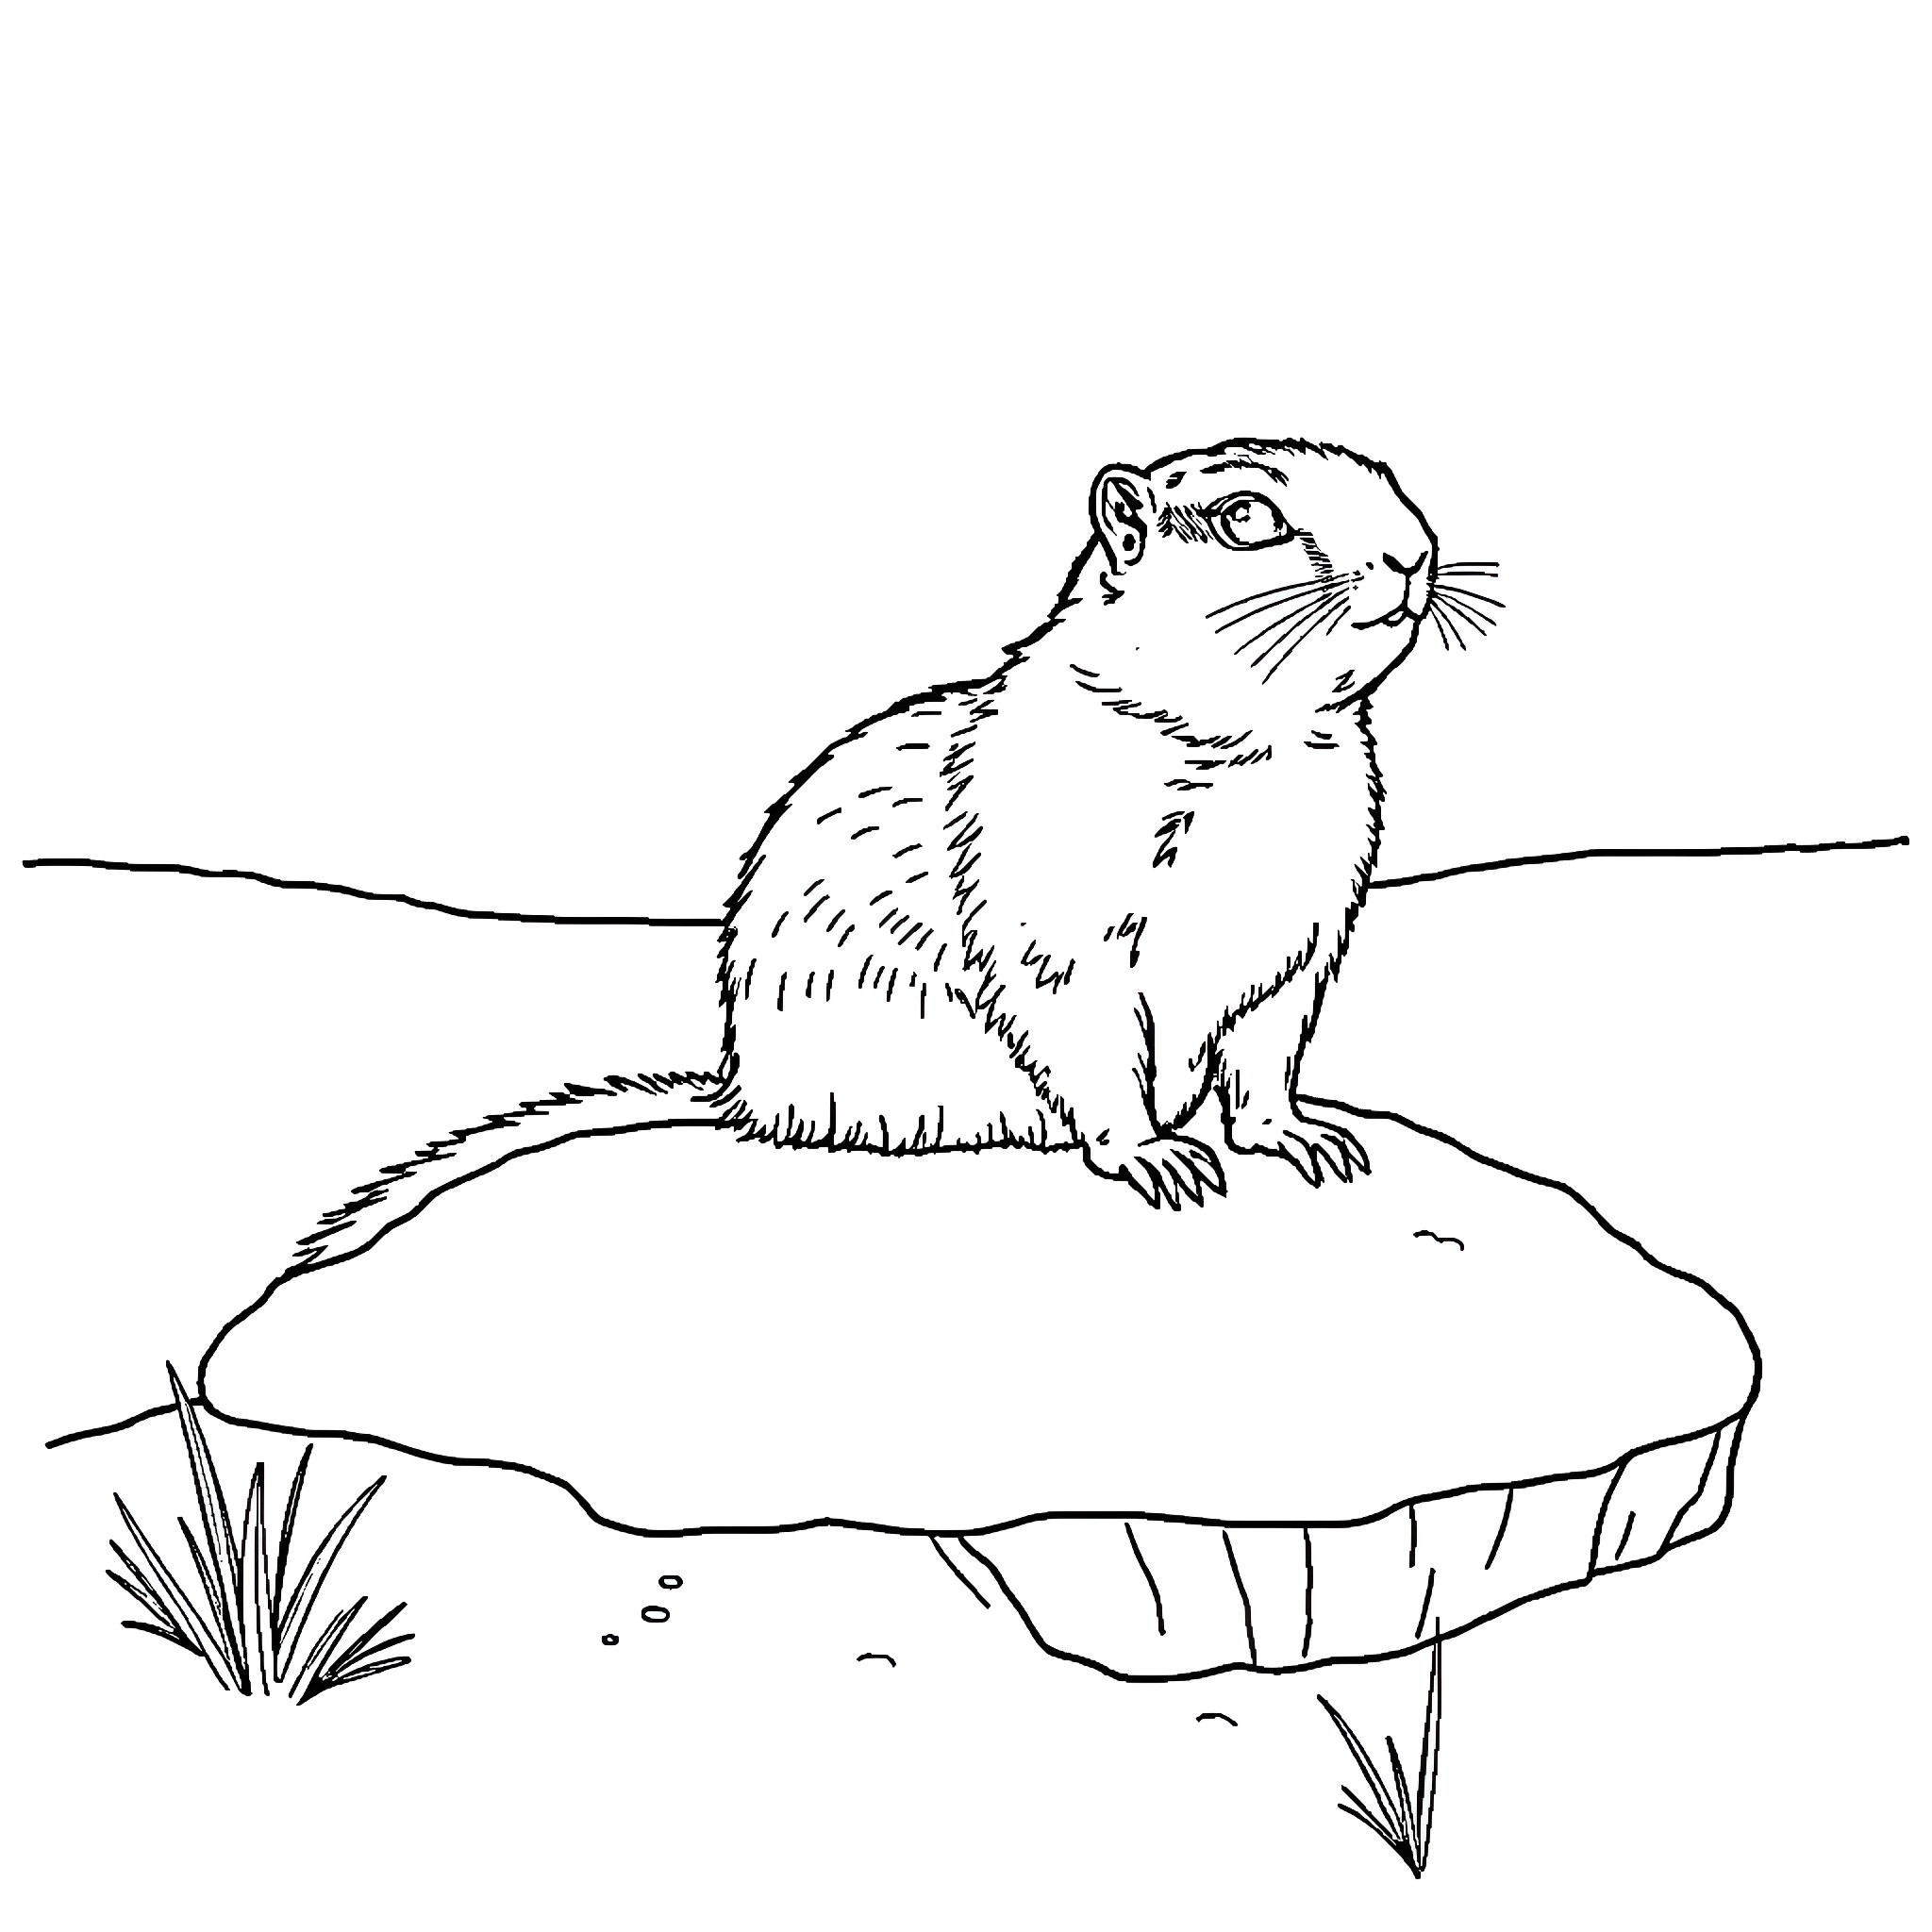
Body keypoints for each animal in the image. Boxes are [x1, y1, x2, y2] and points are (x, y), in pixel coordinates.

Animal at [295, 437, 1444, 1273]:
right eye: (1250, 517)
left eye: (1389, 479)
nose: (1415, 556)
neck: (1251, 746)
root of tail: (746, 1094)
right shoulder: (1070, 927)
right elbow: (1091, 1035)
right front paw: (1157, 1154)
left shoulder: (1299, 936)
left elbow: (1265, 1052)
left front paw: (1300, 1137)